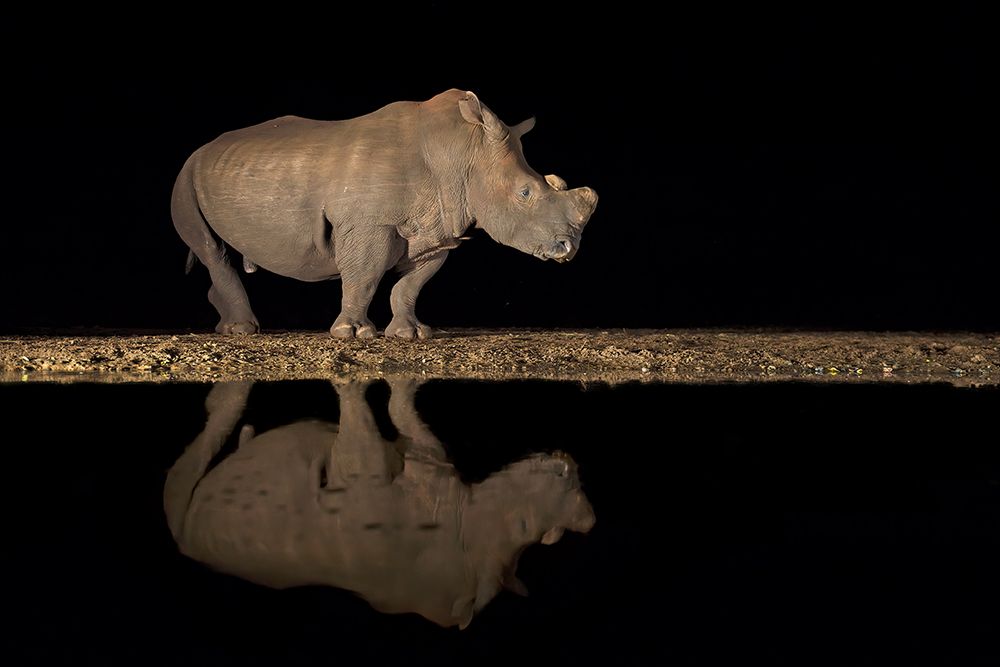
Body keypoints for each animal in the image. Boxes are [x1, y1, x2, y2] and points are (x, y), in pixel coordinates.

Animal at [163, 379, 595, 629]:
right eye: (524, 527)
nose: (570, 471)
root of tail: (186, 543)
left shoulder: (368, 465)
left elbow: (368, 416)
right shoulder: (418, 458)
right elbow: (403, 418)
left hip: (199, 522)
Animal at [172, 89, 598, 338]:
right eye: (525, 193)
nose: (569, 248)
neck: (463, 152)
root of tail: (204, 147)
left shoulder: (439, 229)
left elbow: (410, 284)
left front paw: (410, 335)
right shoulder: (368, 223)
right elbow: (365, 275)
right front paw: (353, 334)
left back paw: (226, 325)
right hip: (186, 176)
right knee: (210, 248)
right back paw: (243, 331)